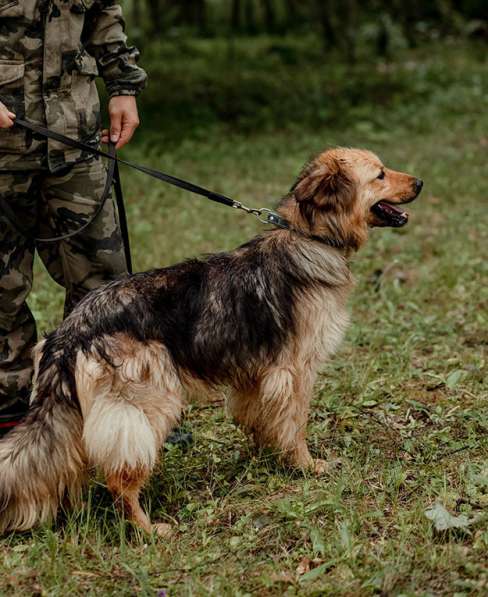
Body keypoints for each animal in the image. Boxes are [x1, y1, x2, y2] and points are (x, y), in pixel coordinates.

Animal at [0, 148, 422, 536]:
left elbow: (260, 419)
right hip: (146, 403)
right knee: (120, 476)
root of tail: (72, 329)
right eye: (380, 175)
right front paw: (305, 465)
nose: (420, 182)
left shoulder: (258, 374)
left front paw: (265, 456)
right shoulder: (294, 372)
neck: (309, 236)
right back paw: (147, 528)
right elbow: (295, 425)